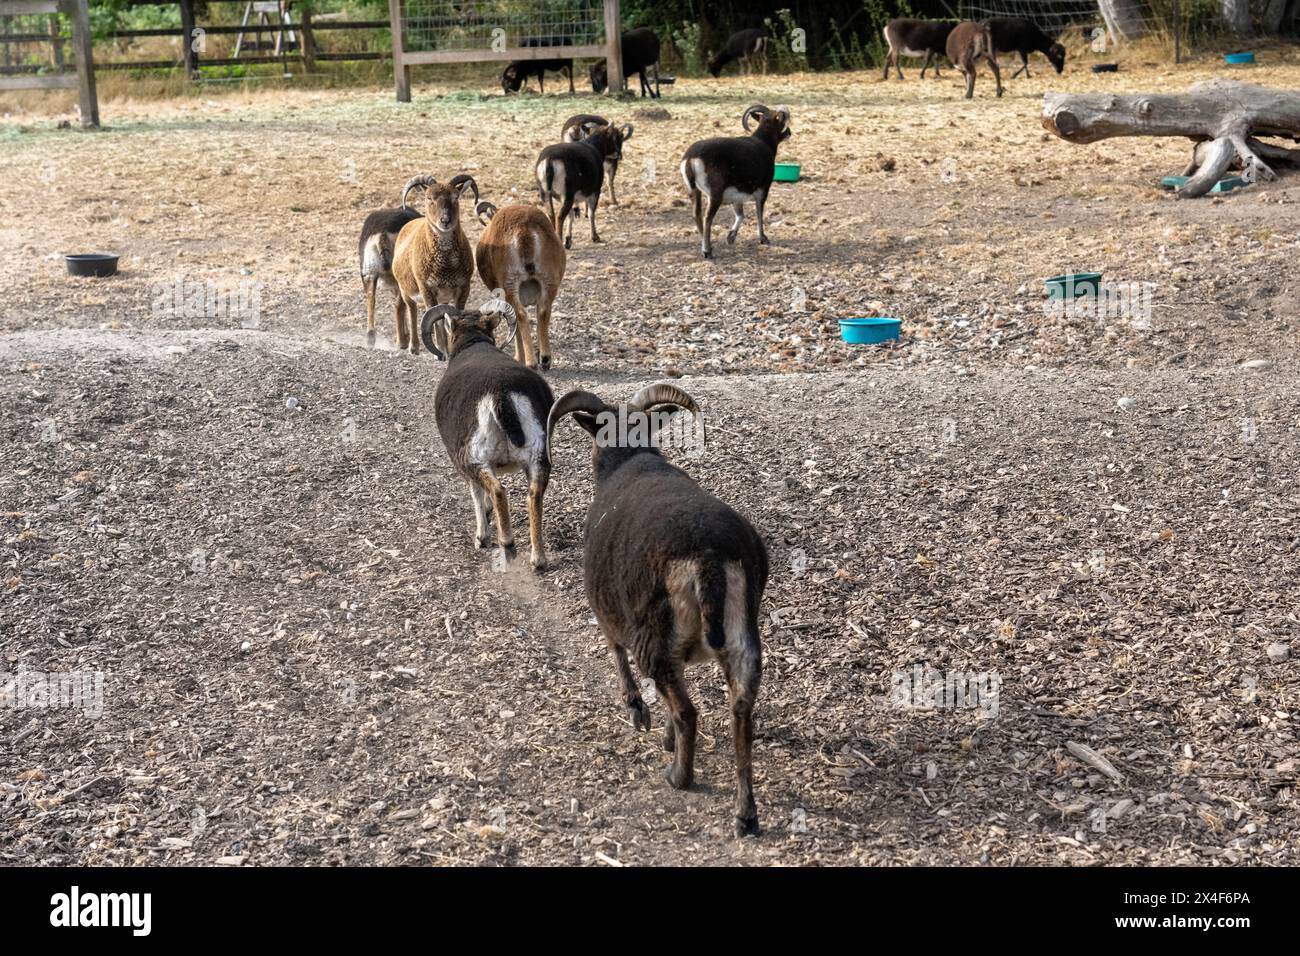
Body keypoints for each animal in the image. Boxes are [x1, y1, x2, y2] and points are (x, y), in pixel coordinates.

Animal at [395, 174, 483, 353]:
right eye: (430, 198)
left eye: (455, 197)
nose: (445, 221)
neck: (446, 267)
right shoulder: (427, 289)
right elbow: (435, 322)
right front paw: (440, 351)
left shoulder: (463, 287)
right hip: (405, 289)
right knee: (412, 310)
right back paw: (413, 347)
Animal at [423, 295, 551, 572]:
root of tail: (501, 395)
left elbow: (476, 493)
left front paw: (481, 538)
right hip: (537, 457)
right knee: (534, 494)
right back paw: (538, 559)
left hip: (476, 458)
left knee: (498, 490)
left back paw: (506, 543)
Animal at [543, 385, 764, 832]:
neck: (628, 458)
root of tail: (708, 557)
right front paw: (662, 734)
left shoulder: (607, 608)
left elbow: (616, 650)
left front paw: (638, 713)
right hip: (743, 638)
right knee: (740, 713)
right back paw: (745, 814)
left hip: (654, 637)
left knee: (688, 711)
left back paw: (679, 777)